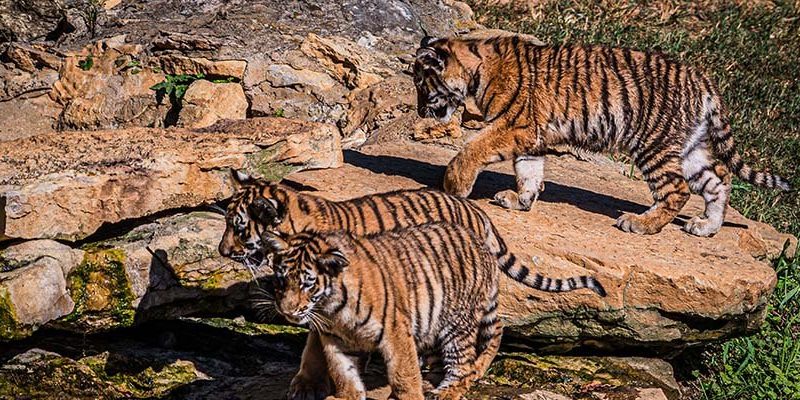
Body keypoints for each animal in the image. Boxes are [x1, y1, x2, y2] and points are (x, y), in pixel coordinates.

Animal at [262, 223, 501, 400]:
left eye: (307, 284)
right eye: (281, 280)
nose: (286, 310)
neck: (332, 309)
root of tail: (482, 245)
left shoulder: (395, 332)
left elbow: (404, 375)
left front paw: (411, 395)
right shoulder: (335, 340)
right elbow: (343, 374)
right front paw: (349, 395)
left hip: (457, 325)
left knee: (463, 367)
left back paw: (444, 392)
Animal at [413, 35, 792, 237]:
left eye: (420, 84)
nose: (419, 111)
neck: (475, 69)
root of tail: (703, 80)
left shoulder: (514, 125)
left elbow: (471, 149)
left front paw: (454, 187)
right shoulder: (530, 137)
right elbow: (529, 172)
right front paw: (520, 200)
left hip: (653, 145)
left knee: (677, 190)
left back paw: (640, 223)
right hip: (689, 148)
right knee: (718, 180)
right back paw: (706, 228)